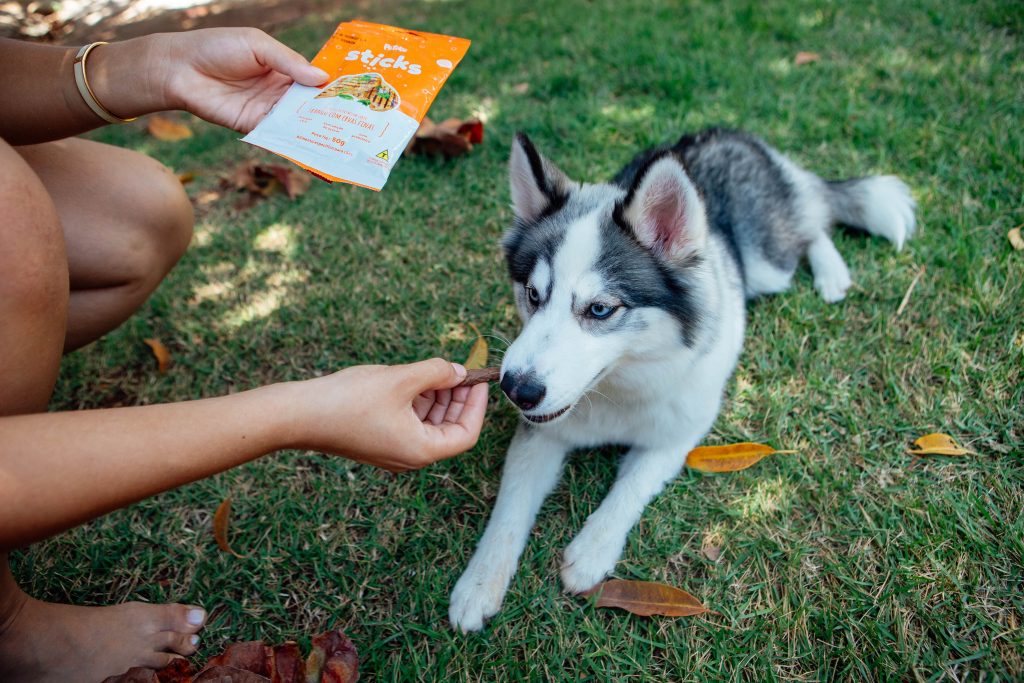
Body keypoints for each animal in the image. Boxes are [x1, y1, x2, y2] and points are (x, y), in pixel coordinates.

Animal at [452, 126, 917, 630]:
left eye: (600, 309)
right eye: (533, 295)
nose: (516, 389)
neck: (617, 388)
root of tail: (729, 133)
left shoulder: (677, 436)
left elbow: (630, 488)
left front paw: (592, 549)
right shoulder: (540, 434)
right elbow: (510, 508)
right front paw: (479, 583)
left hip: (768, 263)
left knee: (813, 223)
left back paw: (832, 273)